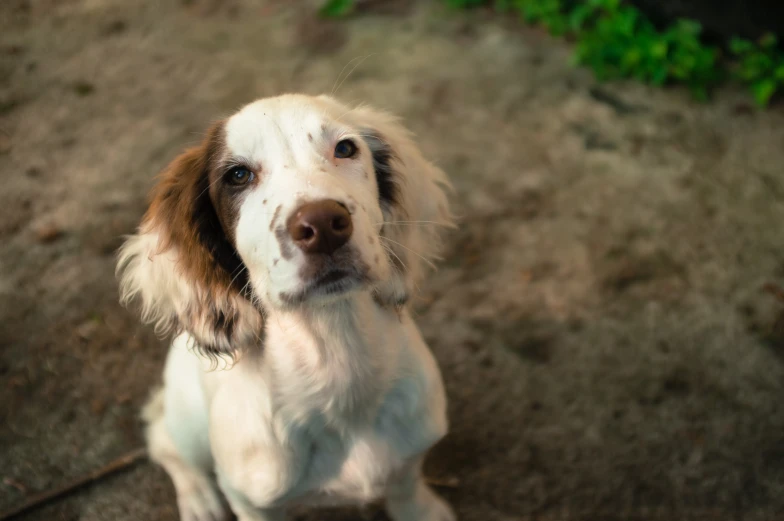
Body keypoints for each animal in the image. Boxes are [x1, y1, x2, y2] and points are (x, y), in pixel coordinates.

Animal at [118, 94, 456, 520]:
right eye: (238, 175)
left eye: (345, 148)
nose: (323, 225)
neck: (336, 357)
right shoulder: (251, 500)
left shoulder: (414, 444)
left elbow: (407, 486)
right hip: (189, 423)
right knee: (163, 439)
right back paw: (198, 499)